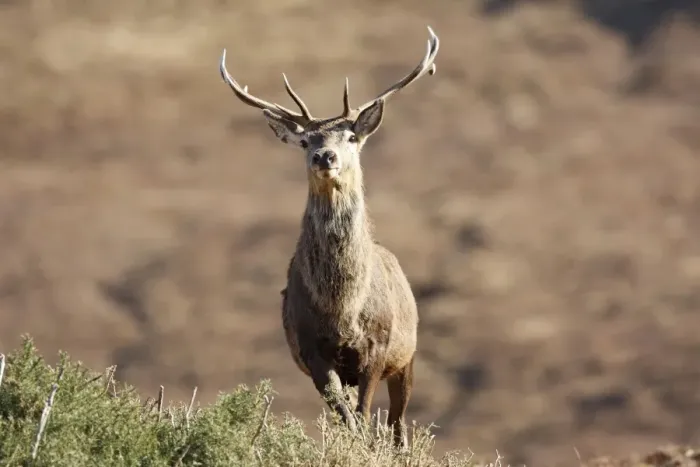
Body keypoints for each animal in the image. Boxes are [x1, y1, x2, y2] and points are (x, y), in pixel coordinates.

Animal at [219, 26, 439, 448]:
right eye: (306, 141)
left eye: (351, 137)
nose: (325, 156)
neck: (342, 311)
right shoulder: (311, 350)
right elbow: (346, 417)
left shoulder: (378, 346)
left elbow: (365, 414)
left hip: (409, 354)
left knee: (399, 424)